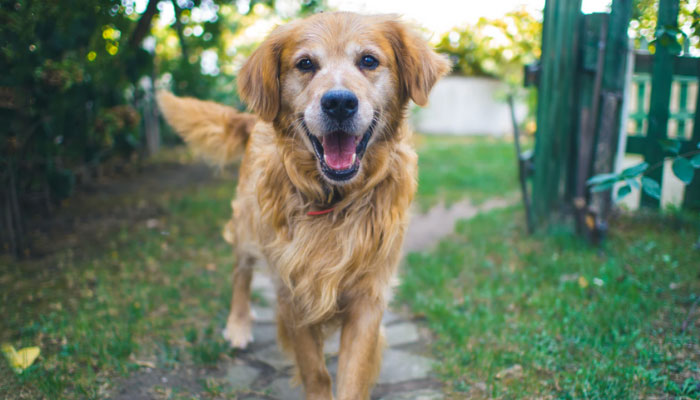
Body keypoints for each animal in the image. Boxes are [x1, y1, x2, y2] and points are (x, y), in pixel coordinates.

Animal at [157, 11, 448, 400]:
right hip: (248, 226)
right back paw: (238, 325)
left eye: (369, 61)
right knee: (240, 274)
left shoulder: (368, 296)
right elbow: (315, 371)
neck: (335, 200)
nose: (339, 103)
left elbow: (352, 374)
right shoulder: (291, 291)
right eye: (305, 64)